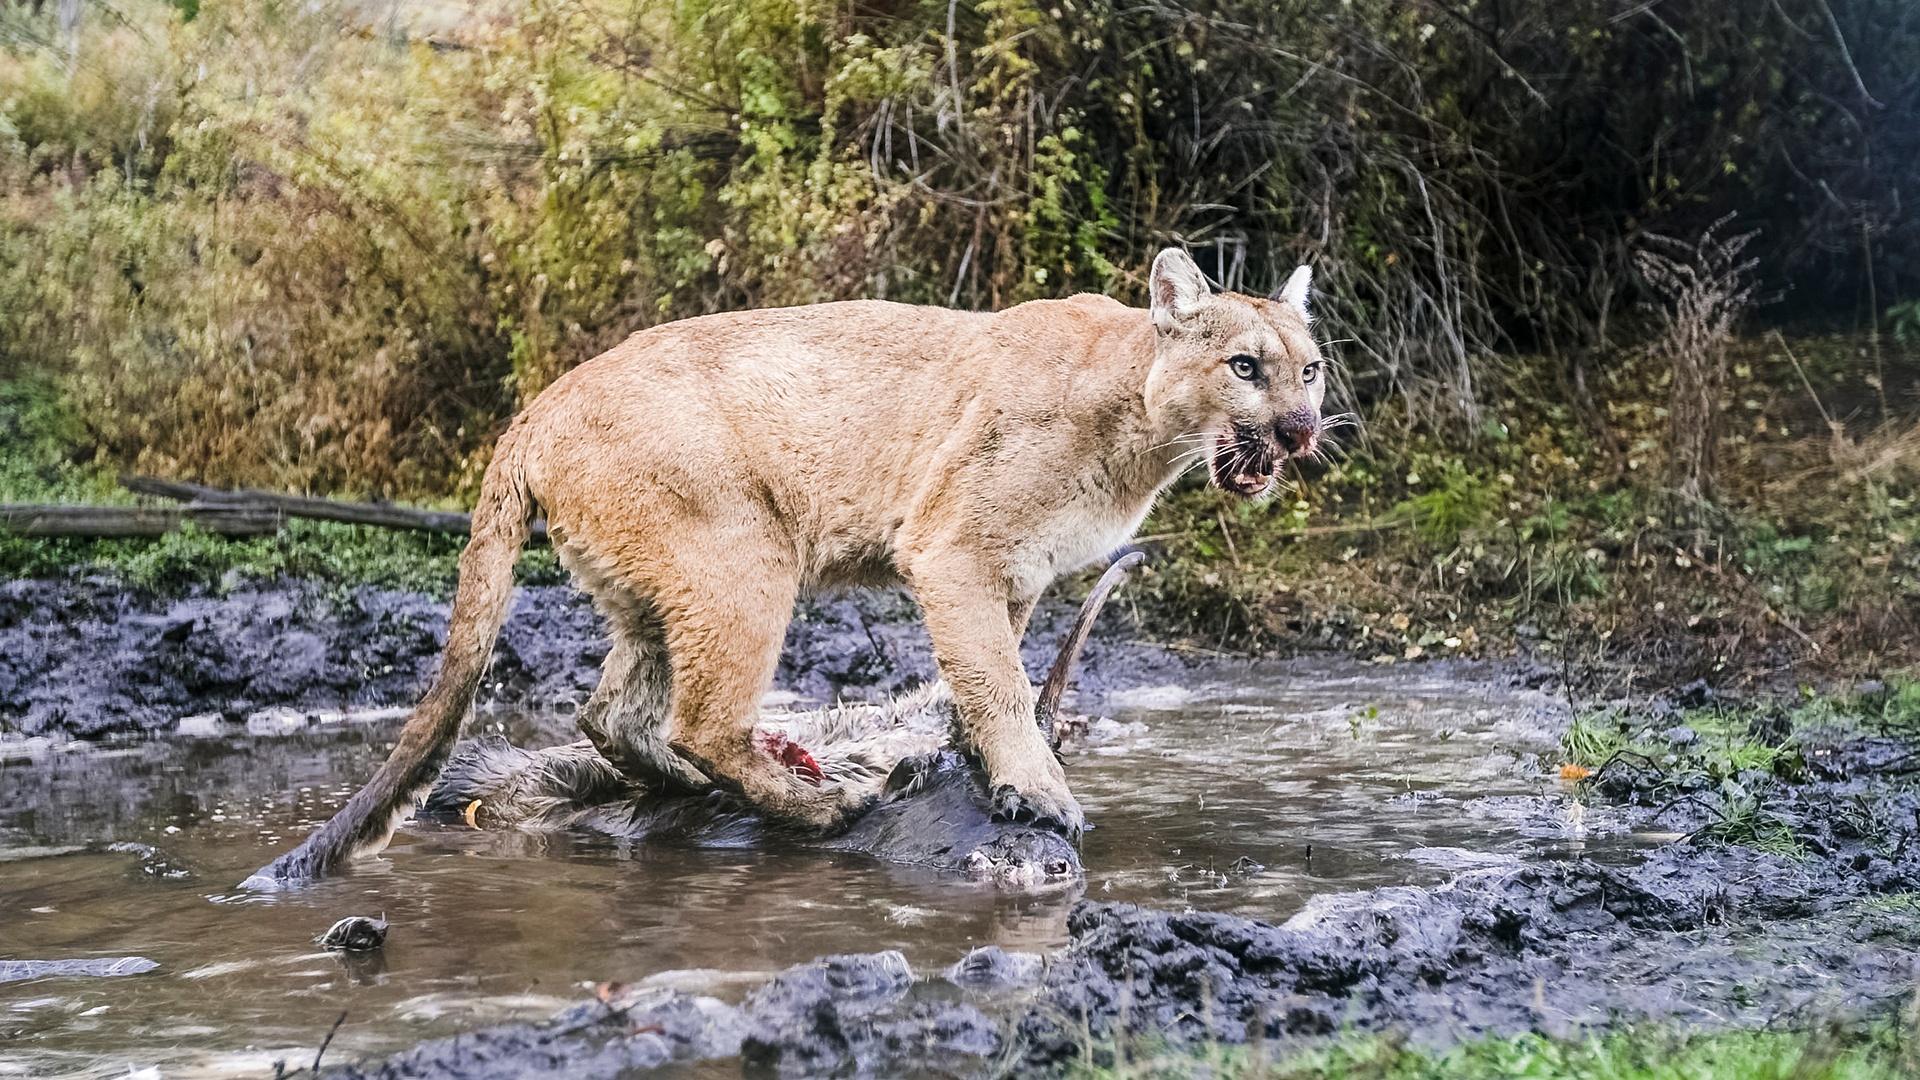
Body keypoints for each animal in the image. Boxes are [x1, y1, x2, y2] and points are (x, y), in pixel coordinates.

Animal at [245, 247, 1328, 886]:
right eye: (1244, 365)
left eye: (1310, 367)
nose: (1302, 428)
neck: (1140, 423)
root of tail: (539, 404)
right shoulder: (953, 551)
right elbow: (996, 679)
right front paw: (1037, 790)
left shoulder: (1010, 575)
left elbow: (994, 673)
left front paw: (980, 760)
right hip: (743, 558)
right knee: (702, 719)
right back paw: (818, 800)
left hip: (654, 588)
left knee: (613, 711)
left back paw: (698, 790)